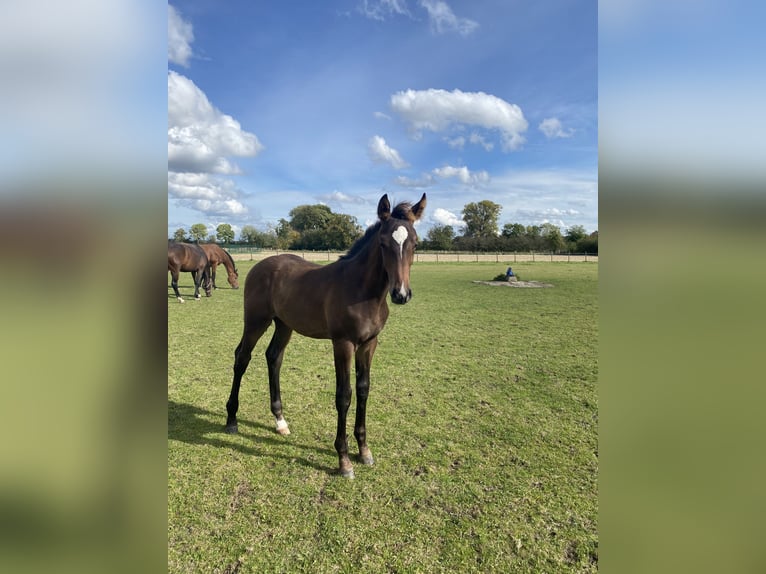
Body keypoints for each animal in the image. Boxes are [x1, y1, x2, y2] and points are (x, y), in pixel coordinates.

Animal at [225, 196, 428, 480]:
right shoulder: (343, 343)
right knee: (242, 357)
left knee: (273, 358)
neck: (362, 291)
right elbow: (344, 395)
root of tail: (260, 265)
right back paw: (231, 419)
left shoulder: (369, 344)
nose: (400, 294)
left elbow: (363, 389)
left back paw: (280, 422)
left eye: (415, 243)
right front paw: (344, 461)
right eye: (383, 243)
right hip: (256, 321)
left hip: (284, 325)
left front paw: (364, 451)